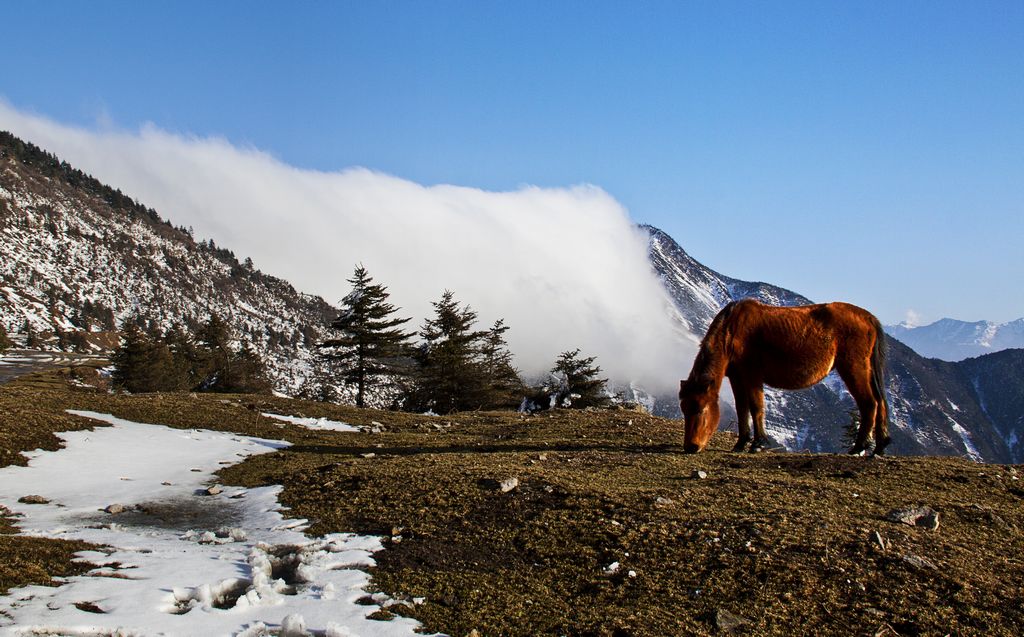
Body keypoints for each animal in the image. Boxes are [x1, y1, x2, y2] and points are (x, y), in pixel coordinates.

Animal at [679, 301, 888, 456]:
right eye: (684, 410)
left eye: (700, 409)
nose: (691, 447)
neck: (732, 332)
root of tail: (869, 318)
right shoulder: (737, 378)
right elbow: (741, 409)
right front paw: (740, 444)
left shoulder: (752, 376)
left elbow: (756, 408)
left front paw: (758, 444)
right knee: (880, 403)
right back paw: (879, 446)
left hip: (853, 368)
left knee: (869, 403)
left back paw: (859, 447)